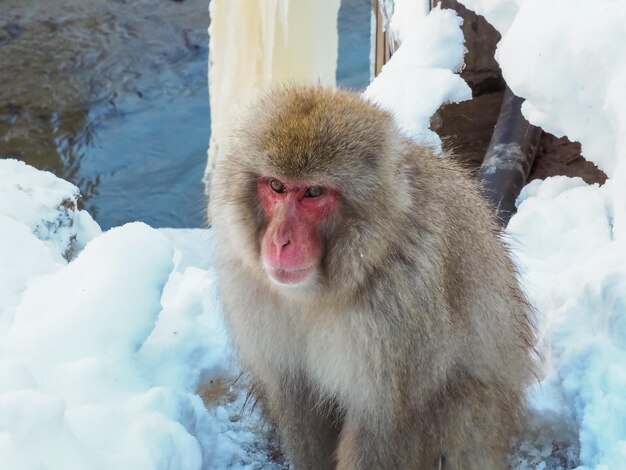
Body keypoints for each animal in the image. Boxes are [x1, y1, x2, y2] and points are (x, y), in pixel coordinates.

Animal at [210, 86, 532, 468]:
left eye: (313, 192)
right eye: (276, 186)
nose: (279, 241)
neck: (320, 291)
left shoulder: (401, 304)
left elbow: (383, 425)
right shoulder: (250, 289)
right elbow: (297, 402)